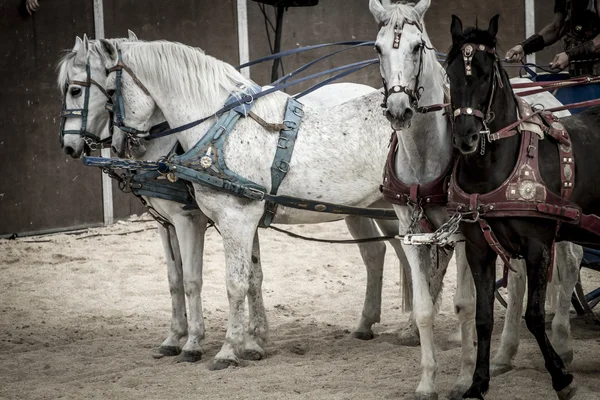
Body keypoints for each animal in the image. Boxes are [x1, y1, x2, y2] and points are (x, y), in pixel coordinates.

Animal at [59, 36, 412, 364]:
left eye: (83, 90)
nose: (69, 146)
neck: (216, 131)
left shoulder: (212, 219)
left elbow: (215, 281)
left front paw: (215, 347)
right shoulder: (181, 222)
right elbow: (203, 279)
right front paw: (244, 341)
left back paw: (409, 329)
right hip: (371, 207)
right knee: (382, 253)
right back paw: (372, 324)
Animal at [442, 14, 600, 398]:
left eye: (486, 74)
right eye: (450, 73)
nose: (466, 138)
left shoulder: (538, 246)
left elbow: (533, 315)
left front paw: (561, 377)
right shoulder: (479, 248)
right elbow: (483, 317)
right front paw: (477, 383)